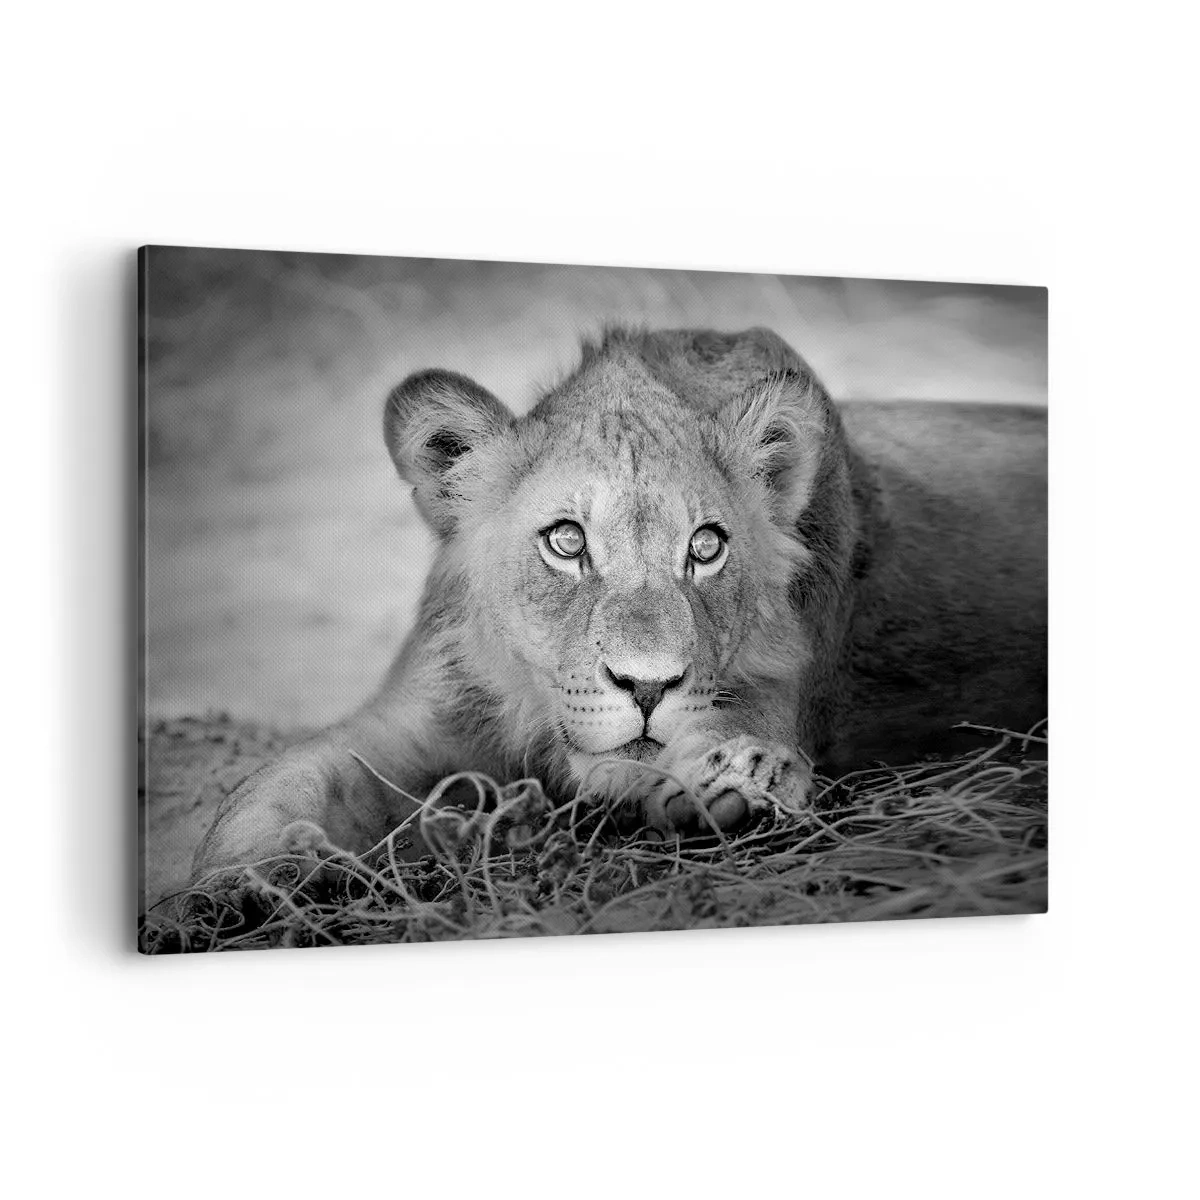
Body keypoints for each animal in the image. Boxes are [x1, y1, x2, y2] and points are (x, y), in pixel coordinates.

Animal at [193, 325, 1046, 876]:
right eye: (567, 541)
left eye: (706, 546)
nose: (647, 687)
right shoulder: (413, 716)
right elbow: (281, 782)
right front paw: (238, 886)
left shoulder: (773, 694)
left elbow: (723, 740)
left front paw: (741, 781)